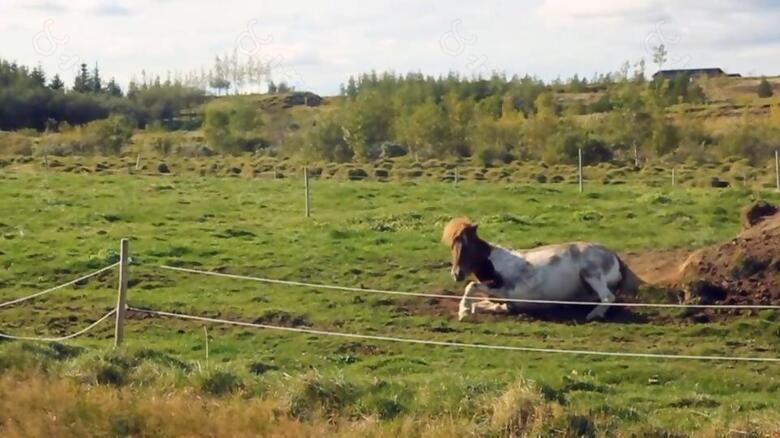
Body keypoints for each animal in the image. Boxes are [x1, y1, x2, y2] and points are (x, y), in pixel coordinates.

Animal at [442, 216, 644, 322]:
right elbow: (481, 304)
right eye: (452, 246)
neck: (496, 263)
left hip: (591, 274)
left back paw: (593, 315)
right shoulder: (507, 304)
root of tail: (613, 255)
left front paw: (462, 312)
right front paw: (468, 310)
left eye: (467, 246)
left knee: (608, 297)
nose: (456, 274)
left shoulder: (502, 289)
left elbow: (471, 286)